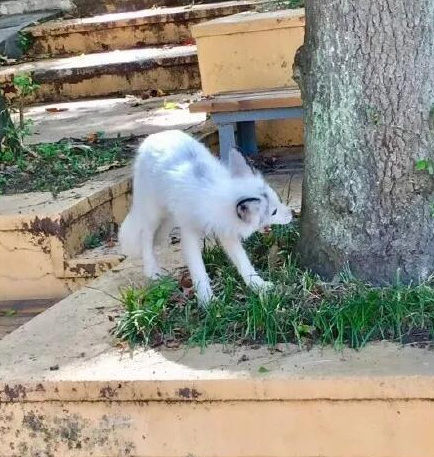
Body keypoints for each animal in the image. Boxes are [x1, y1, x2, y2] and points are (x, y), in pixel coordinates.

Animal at [119, 130, 292, 304]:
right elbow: (198, 269)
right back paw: (152, 270)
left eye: (277, 200)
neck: (213, 194)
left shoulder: (226, 230)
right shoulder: (189, 233)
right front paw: (207, 300)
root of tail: (156, 135)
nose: (291, 214)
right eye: (274, 212)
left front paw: (258, 285)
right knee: (145, 236)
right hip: (153, 213)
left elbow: (243, 261)